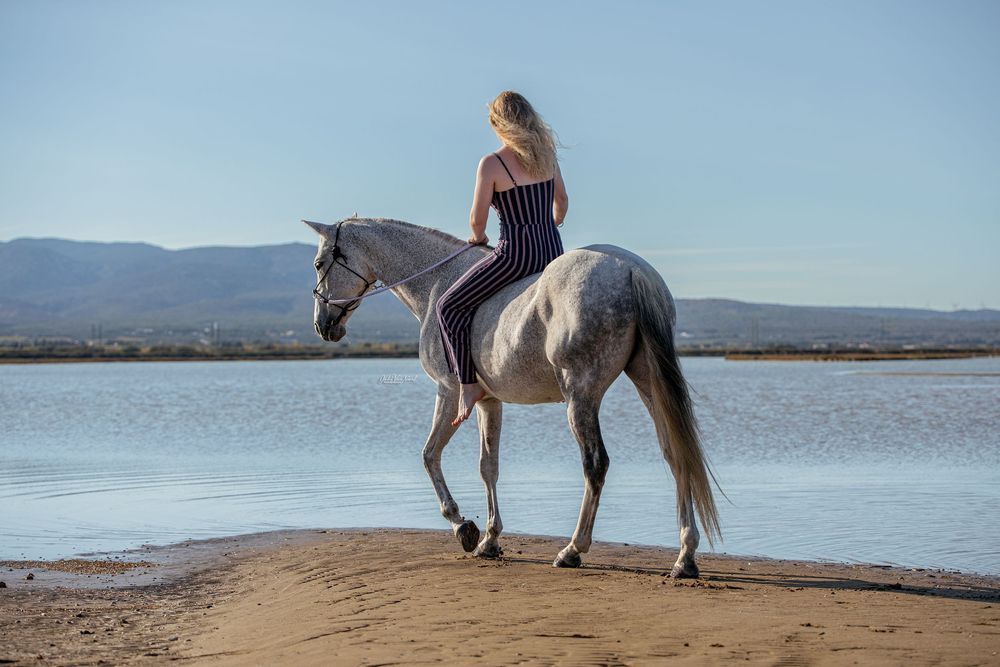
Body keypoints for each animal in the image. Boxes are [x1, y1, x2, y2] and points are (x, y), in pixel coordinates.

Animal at [304, 216, 720, 578]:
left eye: (319, 262)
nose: (322, 326)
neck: (438, 282)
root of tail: (631, 270)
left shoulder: (449, 391)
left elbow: (429, 455)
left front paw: (462, 526)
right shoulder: (489, 402)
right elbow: (488, 466)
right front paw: (489, 539)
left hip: (580, 396)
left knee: (595, 464)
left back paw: (573, 549)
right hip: (648, 383)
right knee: (676, 454)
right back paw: (685, 557)